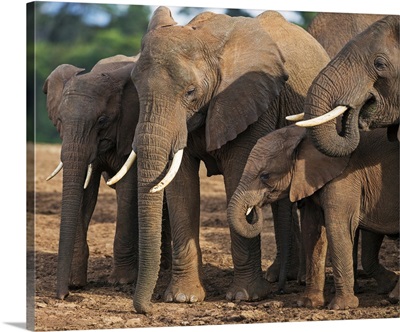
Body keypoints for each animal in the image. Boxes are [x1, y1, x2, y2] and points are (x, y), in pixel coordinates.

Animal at [43, 55, 172, 300]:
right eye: (60, 120)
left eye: (102, 120)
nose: (62, 295)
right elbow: (84, 192)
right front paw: (75, 283)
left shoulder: (131, 130)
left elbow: (127, 190)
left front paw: (120, 281)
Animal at [110, 7, 332, 314]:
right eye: (139, 92)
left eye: (191, 92)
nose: (145, 309)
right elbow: (181, 185)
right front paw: (183, 298)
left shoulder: (249, 100)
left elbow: (239, 170)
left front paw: (245, 296)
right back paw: (281, 276)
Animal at [228, 126, 400, 310]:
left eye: (265, 175)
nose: (280, 292)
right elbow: (312, 230)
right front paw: (308, 303)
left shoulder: (344, 179)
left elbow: (337, 228)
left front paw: (341, 306)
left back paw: (394, 296)